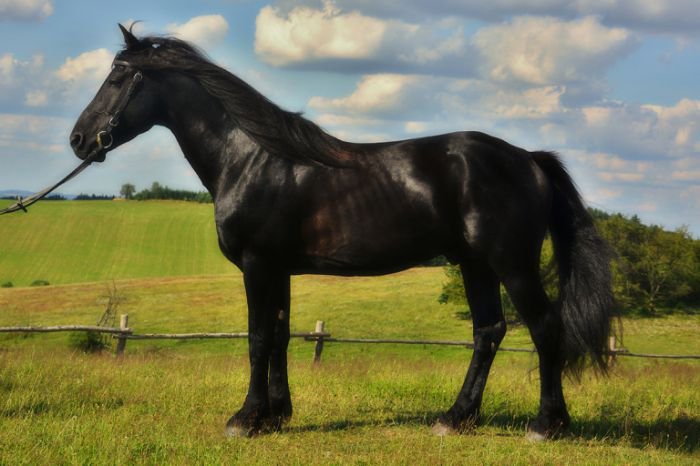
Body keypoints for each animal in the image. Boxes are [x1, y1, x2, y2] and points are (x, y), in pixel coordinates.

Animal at [70, 25, 614, 439]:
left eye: (118, 78)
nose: (78, 139)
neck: (250, 157)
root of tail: (529, 160)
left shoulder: (257, 265)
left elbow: (257, 337)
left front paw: (244, 419)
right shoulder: (279, 269)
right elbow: (280, 335)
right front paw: (275, 416)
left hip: (511, 263)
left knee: (544, 327)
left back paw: (547, 424)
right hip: (475, 265)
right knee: (489, 332)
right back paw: (455, 418)